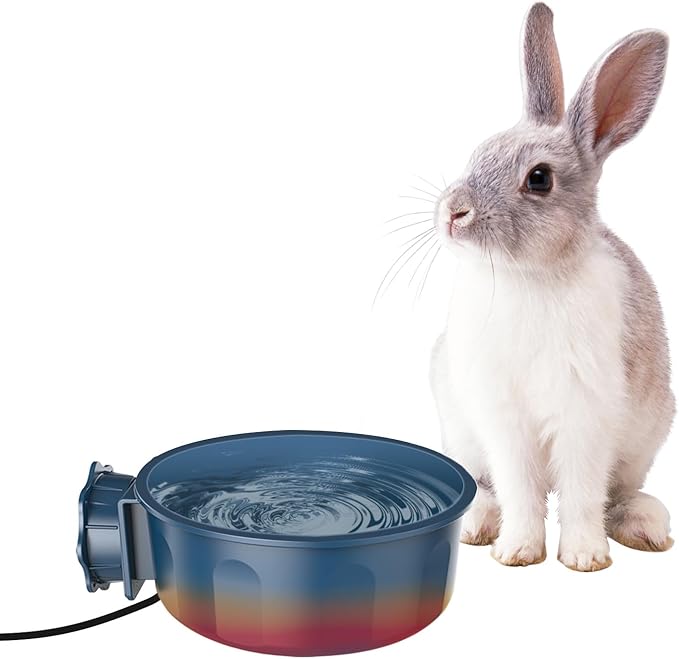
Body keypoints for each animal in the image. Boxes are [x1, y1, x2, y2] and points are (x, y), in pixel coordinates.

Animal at [430, 2, 674, 571]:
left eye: (539, 178)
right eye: (479, 151)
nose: (453, 212)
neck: (529, 276)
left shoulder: (586, 411)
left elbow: (583, 492)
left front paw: (584, 558)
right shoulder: (502, 416)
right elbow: (519, 487)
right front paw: (517, 551)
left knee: (617, 494)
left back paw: (646, 527)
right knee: (485, 485)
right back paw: (476, 526)